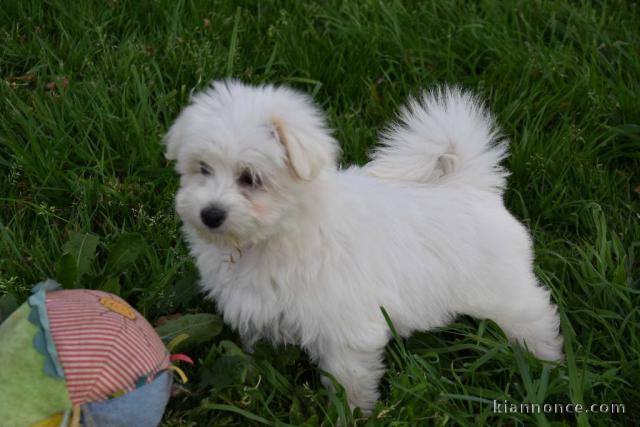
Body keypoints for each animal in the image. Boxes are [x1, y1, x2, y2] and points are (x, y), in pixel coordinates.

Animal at [164, 81, 560, 414]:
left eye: (250, 178)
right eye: (202, 168)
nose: (210, 214)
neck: (276, 233)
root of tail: (471, 184)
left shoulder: (345, 327)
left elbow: (348, 377)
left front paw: (353, 412)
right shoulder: (256, 309)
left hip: (500, 289)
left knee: (534, 314)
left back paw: (546, 362)